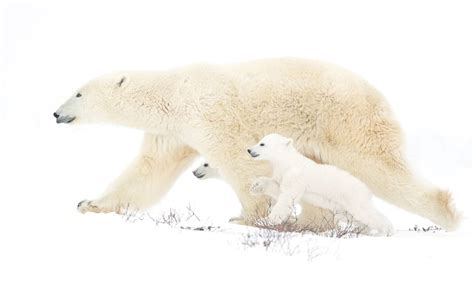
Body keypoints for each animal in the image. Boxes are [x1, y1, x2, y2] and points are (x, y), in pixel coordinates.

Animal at [246, 134, 394, 236]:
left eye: (262, 143)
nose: (249, 150)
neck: (288, 161)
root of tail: (367, 190)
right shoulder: (282, 173)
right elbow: (277, 187)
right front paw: (255, 186)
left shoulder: (296, 175)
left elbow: (287, 197)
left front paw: (266, 220)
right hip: (341, 206)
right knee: (354, 217)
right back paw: (362, 230)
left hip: (352, 197)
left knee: (366, 213)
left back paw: (385, 231)